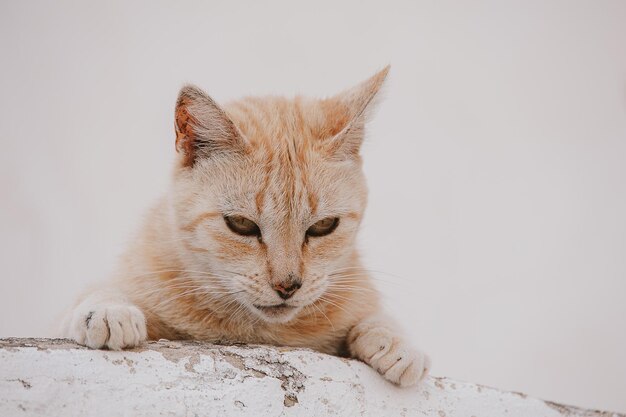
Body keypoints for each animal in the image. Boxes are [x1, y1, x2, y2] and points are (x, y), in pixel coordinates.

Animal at [62, 66, 428, 386]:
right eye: (241, 225)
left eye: (324, 226)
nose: (287, 286)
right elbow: (100, 293)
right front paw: (108, 309)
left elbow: (371, 316)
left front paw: (397, 342)